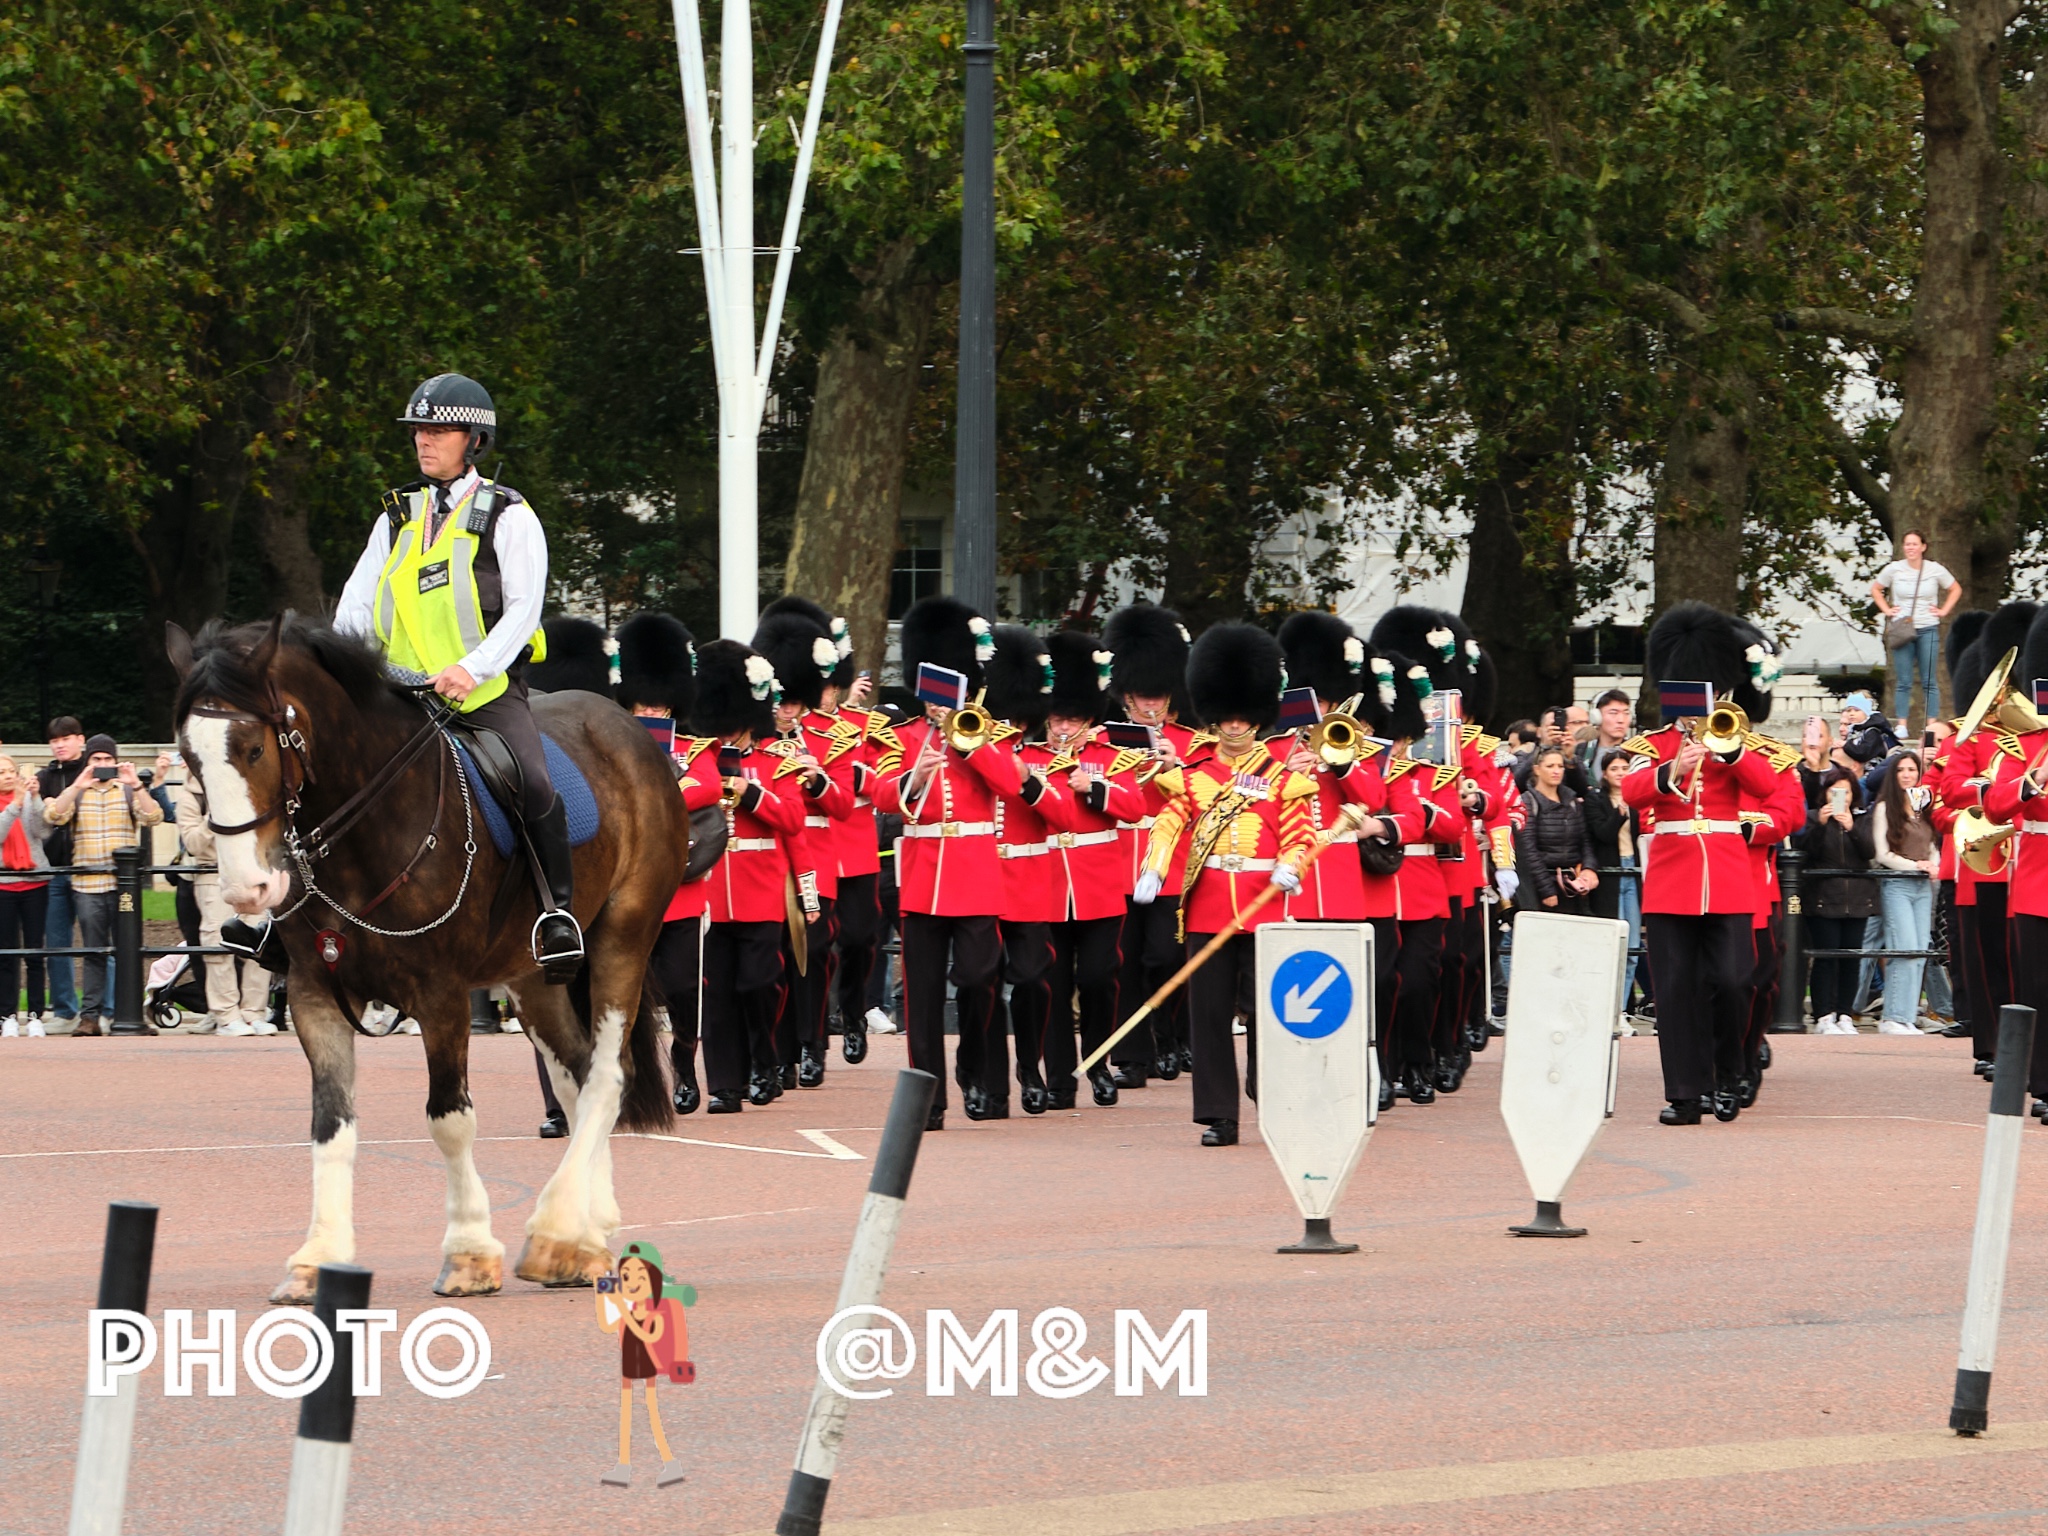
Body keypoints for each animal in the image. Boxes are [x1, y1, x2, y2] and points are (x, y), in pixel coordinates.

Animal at [167, 618, 679, 1302]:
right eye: (189, 756)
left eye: (252, 748)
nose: (248, 889)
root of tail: (631, 729)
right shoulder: (314, 994)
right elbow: (330, 1125)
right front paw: (317, 1255)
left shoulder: (440, 995)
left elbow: (449, 1119)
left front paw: (467, 1251)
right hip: (533, 976)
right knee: (575, 1074)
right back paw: (584, 1235)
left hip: (623, 936)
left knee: (607, 1076)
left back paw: (555, 1228)